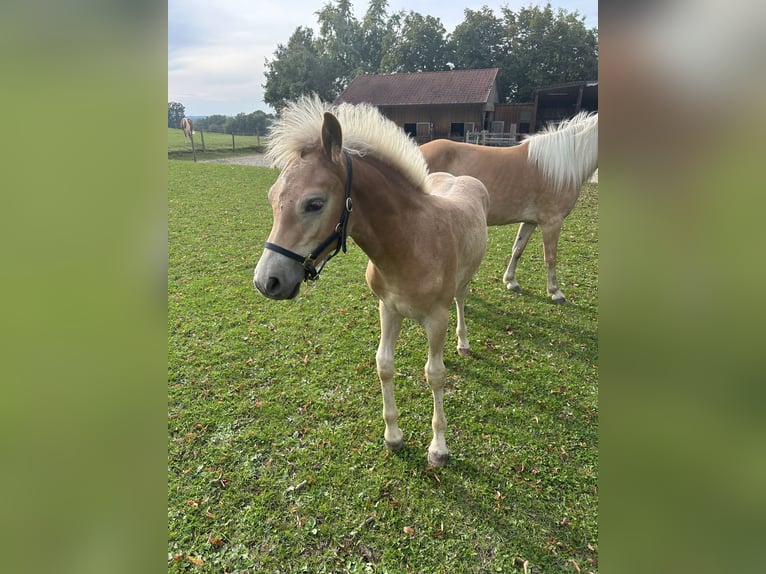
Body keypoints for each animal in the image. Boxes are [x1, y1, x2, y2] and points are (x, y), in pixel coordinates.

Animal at [255, 98, 488, 468]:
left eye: (315, 203)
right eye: (272, 197)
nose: (267, 281)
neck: (410, 243)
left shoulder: (436, 318)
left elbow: (434, 374)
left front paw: (438, 448)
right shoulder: (388, 308)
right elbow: (384, 365)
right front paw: (393, 436)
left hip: (464, 281)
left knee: (461, 300)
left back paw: (463, 342)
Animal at [424, 109, 596, 304]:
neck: (562, 164)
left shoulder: (531, 221)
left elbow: (518, 249)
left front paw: (511, 281)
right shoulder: (552, 222)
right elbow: (551, 257)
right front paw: (555, 292)